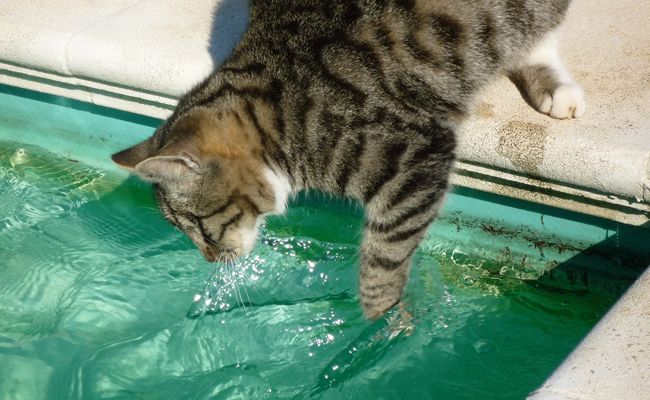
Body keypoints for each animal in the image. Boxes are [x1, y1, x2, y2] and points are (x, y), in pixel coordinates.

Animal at [110, 0, 584, 318]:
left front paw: (382, 320)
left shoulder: (417, 155)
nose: (209, 261)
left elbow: (384, 257)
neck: (279, 113)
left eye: (198, 226)